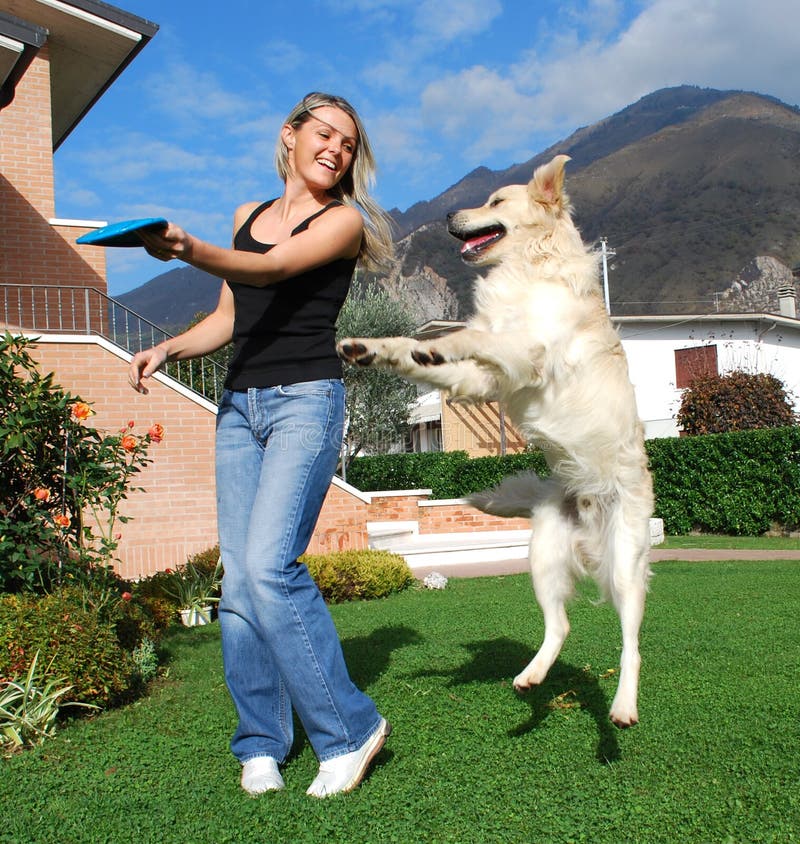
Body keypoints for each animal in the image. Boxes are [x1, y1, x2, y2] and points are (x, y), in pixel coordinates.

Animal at [334, 157, 652, 724]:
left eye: (496, 201)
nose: (447, 213)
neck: (529, 268)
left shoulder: (528, 352)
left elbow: (474, 334)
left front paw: (436, 345)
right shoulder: (485, 380)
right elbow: (427, 351)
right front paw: (377, 348)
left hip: (625, 566)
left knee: (631, 645)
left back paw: (622, 706)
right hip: (542, 558)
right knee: (560, 625)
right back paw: (532, 678)